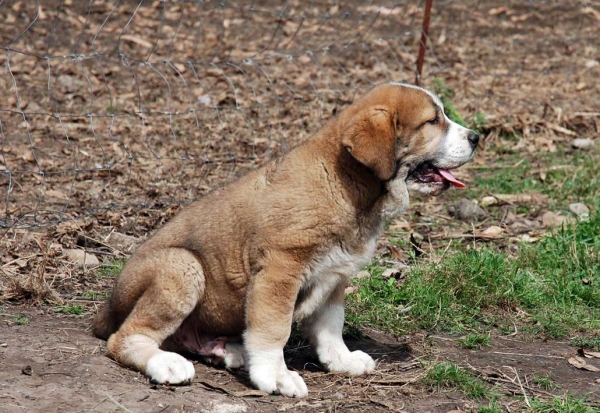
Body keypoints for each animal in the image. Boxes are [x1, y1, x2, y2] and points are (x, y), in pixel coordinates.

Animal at [92, 81, 478, 396]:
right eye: (433, 121)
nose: (476, 137)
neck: (348, 183)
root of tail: (106, 309)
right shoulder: (279, 271)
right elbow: (273, 329)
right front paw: (275, 376)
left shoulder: (336, 275)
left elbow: (331, 324)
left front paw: (341, 360)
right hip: (181, 265)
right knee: (124, 337)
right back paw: (166, 363)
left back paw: (226, 350)